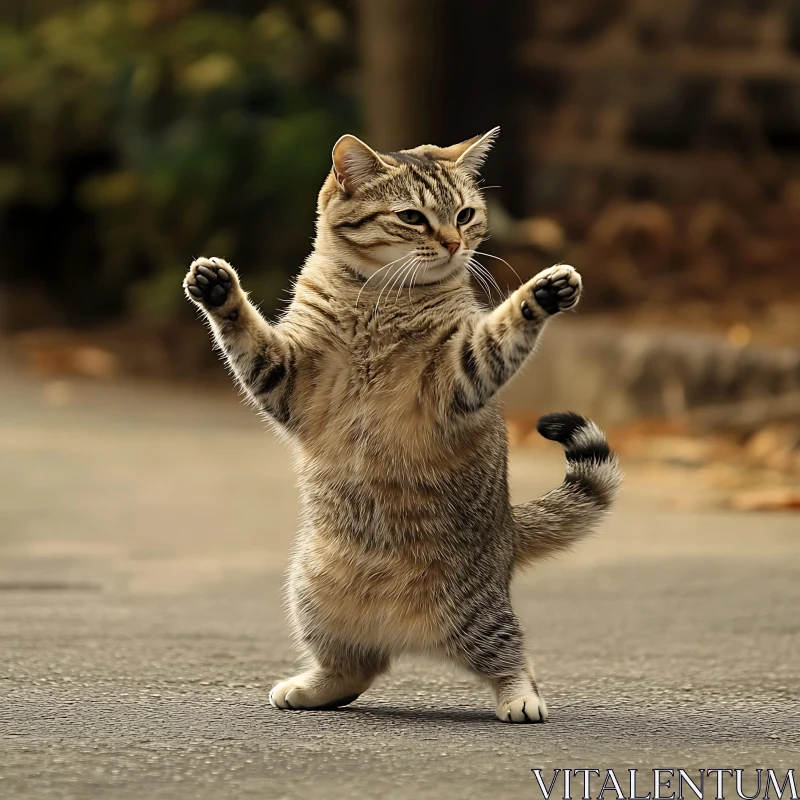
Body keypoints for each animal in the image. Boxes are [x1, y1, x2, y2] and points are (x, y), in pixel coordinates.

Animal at [184, 128, 620, 720]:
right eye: (413, 217)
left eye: (464, 215)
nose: (454, 243)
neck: (377, 296)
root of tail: (509, 528)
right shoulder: (287, 377)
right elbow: (245, 333)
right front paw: (219, 291)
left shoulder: (458, 377)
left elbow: (502, 331)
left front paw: (541, 293)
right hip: (311, 597)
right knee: (356, 668)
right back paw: (313, 688)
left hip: (478, 614)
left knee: (512, 657)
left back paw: (521, 699)